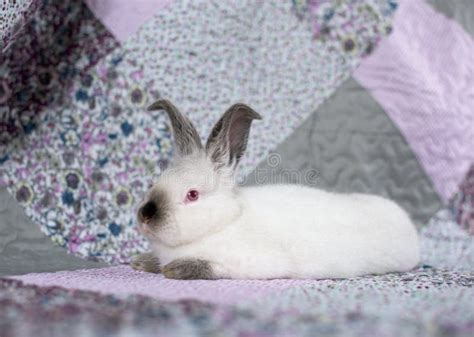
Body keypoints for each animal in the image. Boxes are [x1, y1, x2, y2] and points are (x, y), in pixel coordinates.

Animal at [131, 100, 420, 278]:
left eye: (192, 194)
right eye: (155, 183)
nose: (145, 216)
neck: (224, 222)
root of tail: (406, 222)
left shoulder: (250, 263)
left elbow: (212, 267)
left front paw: (175, 269)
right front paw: (140, 261)